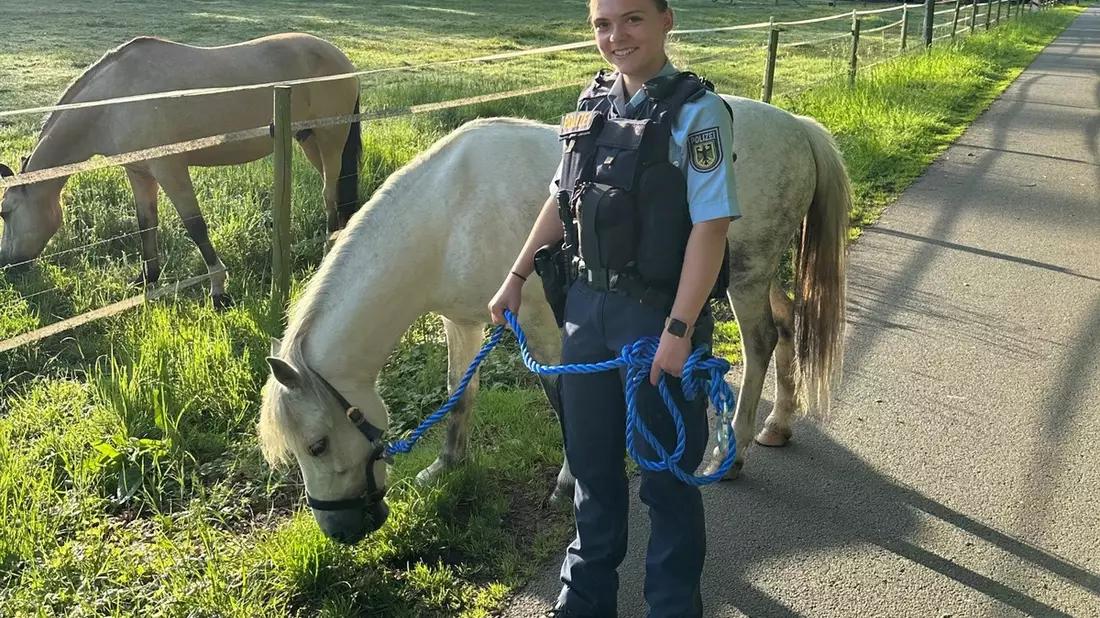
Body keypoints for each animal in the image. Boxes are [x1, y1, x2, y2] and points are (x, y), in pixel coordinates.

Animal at [0, 33, 362, 309]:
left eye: (5, 211)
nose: (6, 264)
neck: (115, 101)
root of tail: (341, 59)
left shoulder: (170, 168)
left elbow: (195, 226)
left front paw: (219, 291)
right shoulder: (140, 173)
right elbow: (146, 224)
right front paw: (147, 279)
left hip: (331, 139)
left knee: (329, 193)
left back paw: (328, 253)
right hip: (309, 141)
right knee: (334, 189)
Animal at [257, 99, 851, 543]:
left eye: (316, 445)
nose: (342, 531)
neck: (450, 215)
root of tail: (799, 128)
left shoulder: (542, 326)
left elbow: (563, 398)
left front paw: (569, 485)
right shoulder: (464, 322)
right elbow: (458, 392)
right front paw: (445, 465)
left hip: (745, 277)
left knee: (761, 341)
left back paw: (734, 454)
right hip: (750, 277)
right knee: (788, 322)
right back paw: (778, 426)